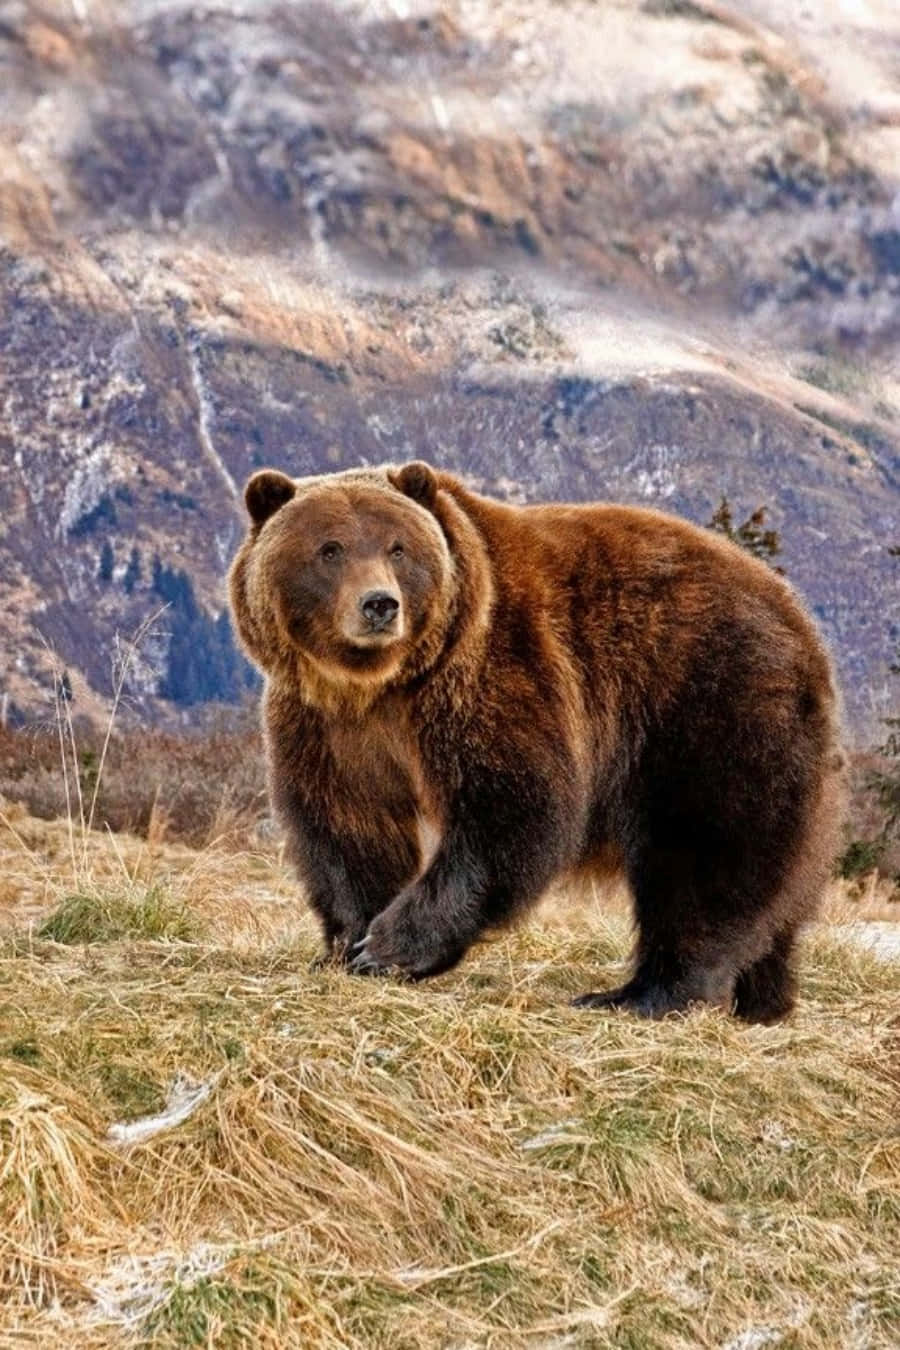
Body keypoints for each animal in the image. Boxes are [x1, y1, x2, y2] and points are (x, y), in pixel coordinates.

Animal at [229, 459, 845, 1023]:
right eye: (330, 549)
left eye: (397, 548)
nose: (380, 604)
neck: (383, 684)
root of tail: (798, 616)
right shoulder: (327, 725)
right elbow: (345, 825)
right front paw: (349, 942)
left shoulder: (493, 673)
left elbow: (512, 808)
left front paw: (390, 947)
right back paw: (762, 1000)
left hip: (708, 699)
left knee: (704, 850)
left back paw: (644, 993)